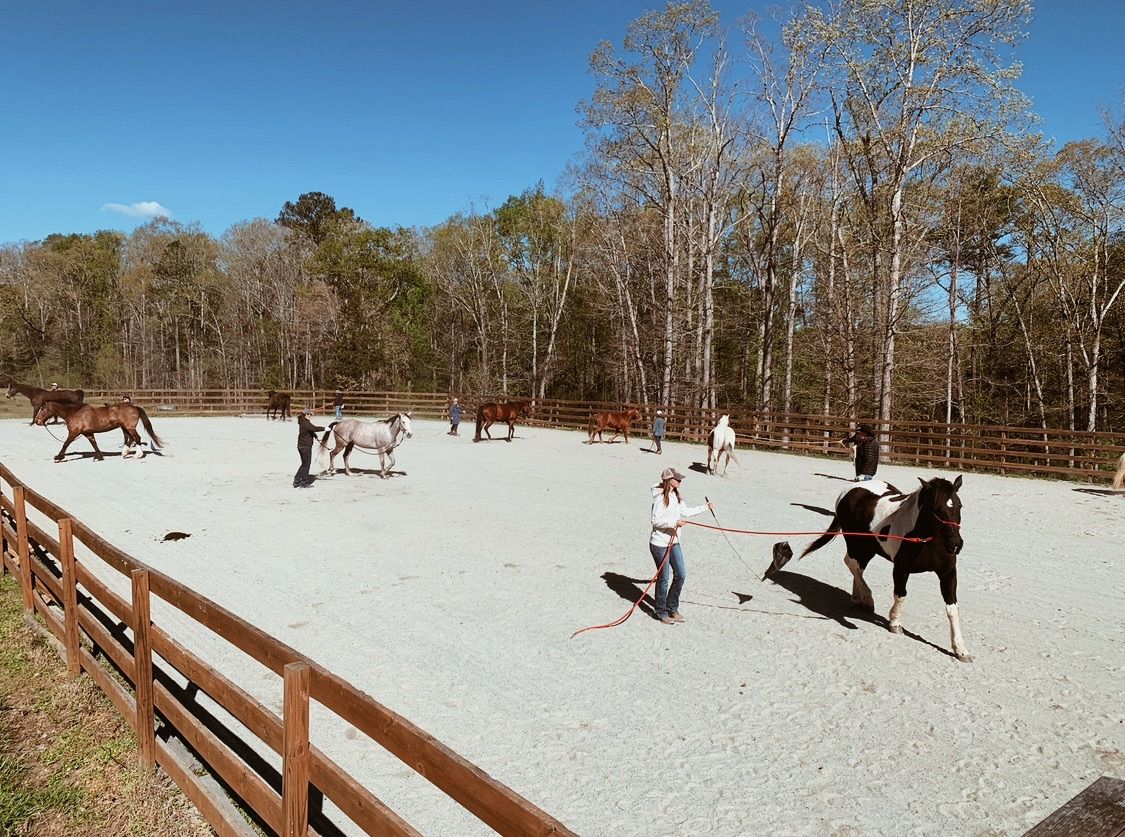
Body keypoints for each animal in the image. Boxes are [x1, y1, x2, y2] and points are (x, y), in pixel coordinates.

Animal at [34, 400, 164, 461]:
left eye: (43, 409)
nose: (37, 421)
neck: (74, 412)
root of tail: (134, 407)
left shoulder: (74, 432)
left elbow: (65, 444)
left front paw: (58, 457)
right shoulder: (88, 433)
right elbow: (94, 444)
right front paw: (99, 457)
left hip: (129, 427)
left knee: (136, 438)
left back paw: (138, 455)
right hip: (125, 427)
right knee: (130, 439)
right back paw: (124, 453)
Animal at [796, 477, 972, 661]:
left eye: (959, 505)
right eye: (936, 508)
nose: (955, 545)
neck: (926, 540)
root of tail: (850, 489)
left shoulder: (948, 573)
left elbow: (953, 609)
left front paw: (960, 649)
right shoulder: (901, 569)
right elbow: (900, 595)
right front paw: (895, 623)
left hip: (867, 548)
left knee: (857, 568)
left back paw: (857, 597)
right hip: (855, 543)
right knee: (852, 564)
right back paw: (866, 599)